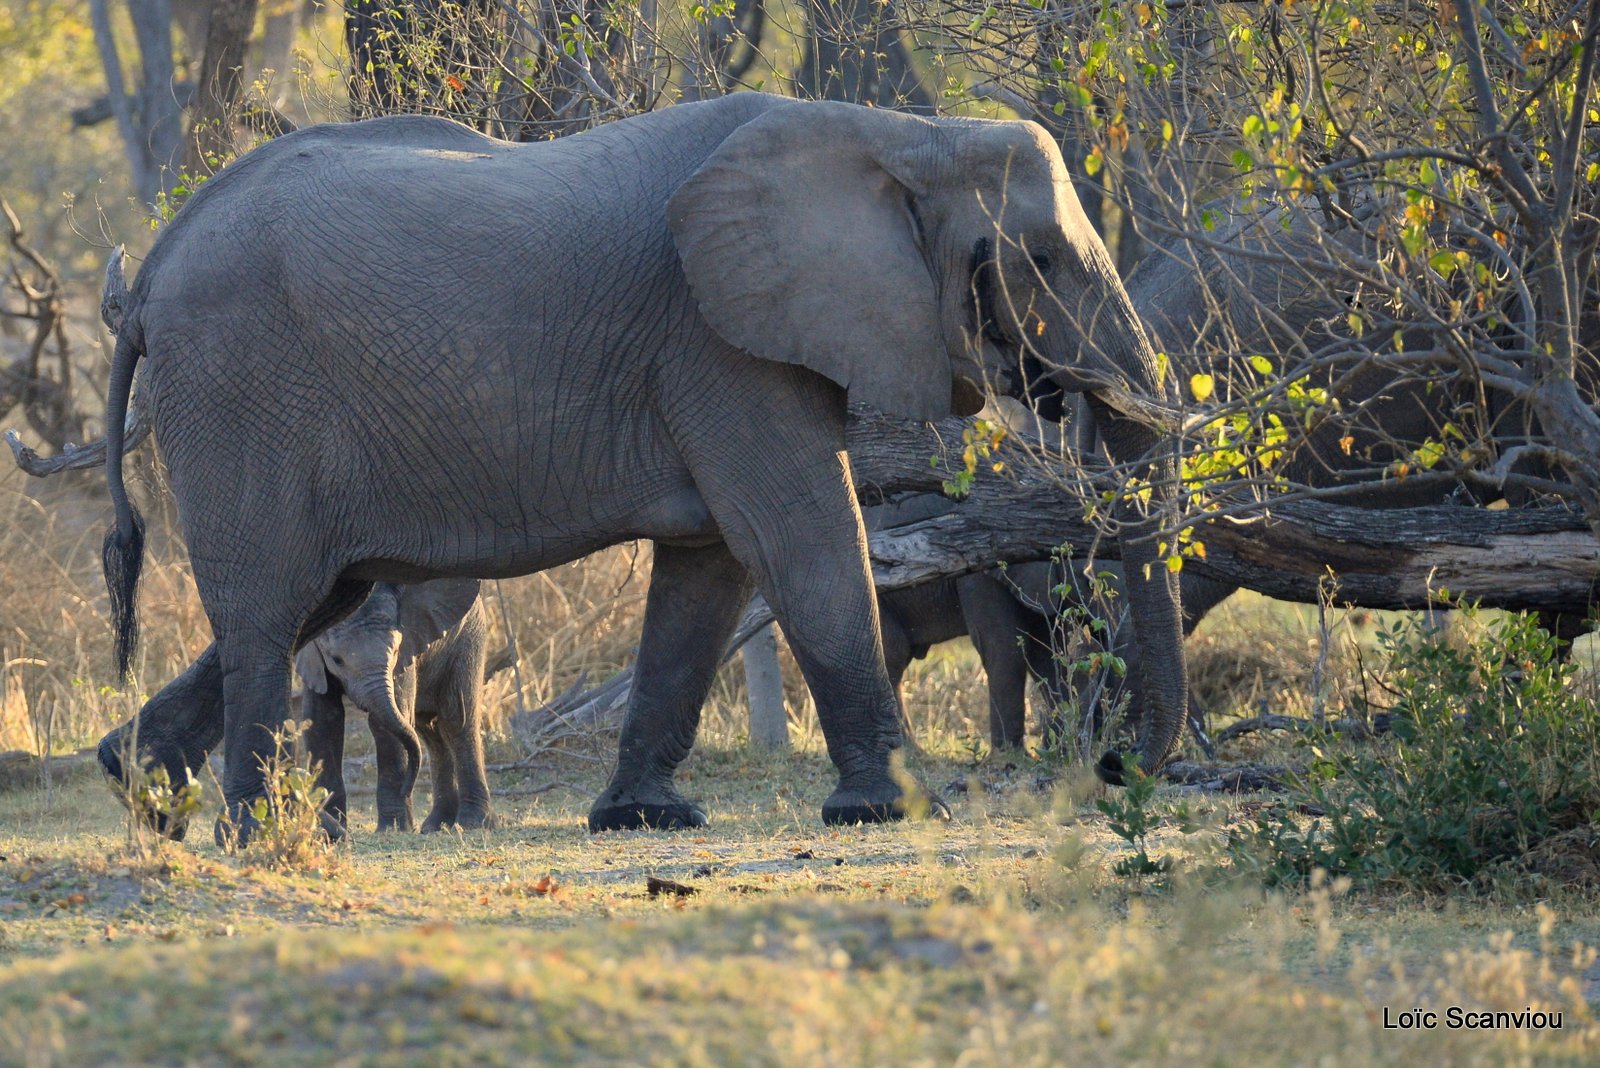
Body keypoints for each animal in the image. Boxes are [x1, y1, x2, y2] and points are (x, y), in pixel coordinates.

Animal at [297, 575, 496, 831]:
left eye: (393, 653)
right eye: (337, 660)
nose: (407, 789)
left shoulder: (407, 649)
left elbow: (387, 724)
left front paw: (392, 829)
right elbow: (322, 722)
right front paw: (330, 824)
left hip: (469, 636)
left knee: (457, 721)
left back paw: (471, 824)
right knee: (430, 731)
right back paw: (434, 826)